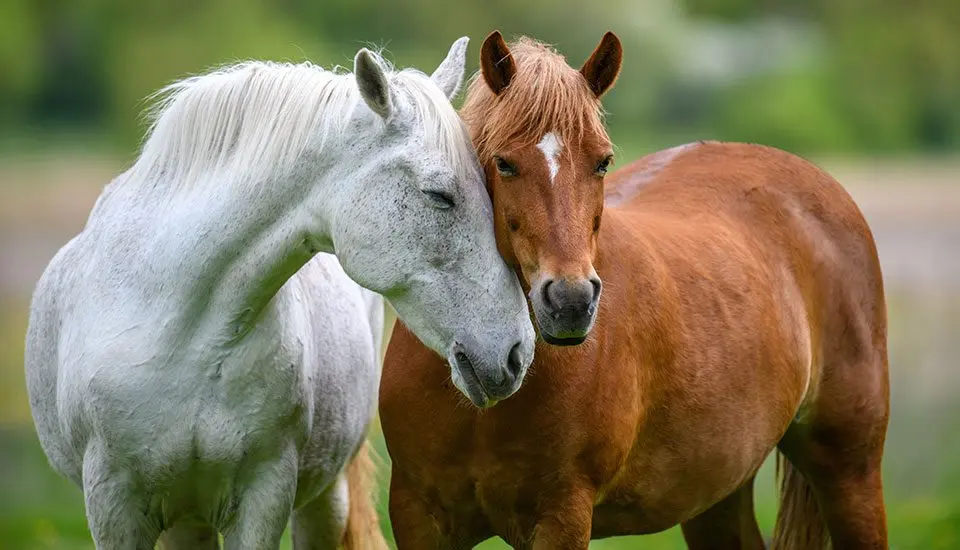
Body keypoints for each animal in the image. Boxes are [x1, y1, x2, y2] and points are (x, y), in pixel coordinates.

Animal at [24, 37, 536, 550]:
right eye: (440, 195)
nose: (518, 353)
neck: (177, 326)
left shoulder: (263, 496)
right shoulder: (114, 507)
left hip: (322, 502)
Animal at [380, 32, 890, 549]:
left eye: (602, 162)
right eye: (504, 163)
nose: (570, 302)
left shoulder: (562, 516)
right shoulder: (418, 515)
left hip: (849, 471)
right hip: (718, 494)